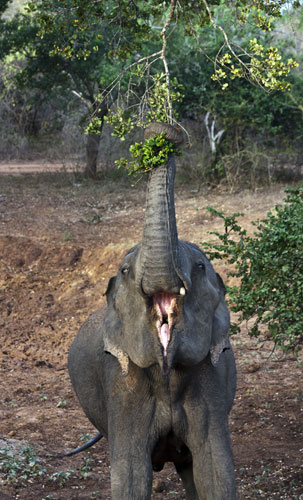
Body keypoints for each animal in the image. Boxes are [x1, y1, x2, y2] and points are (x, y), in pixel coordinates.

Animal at [69, 123, 238, 498]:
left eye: (201, 267)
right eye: (124, 271)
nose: (165, 132)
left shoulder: (212, 379)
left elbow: (215, 469)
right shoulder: (121, 383)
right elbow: (131, 474)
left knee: (189, 468)